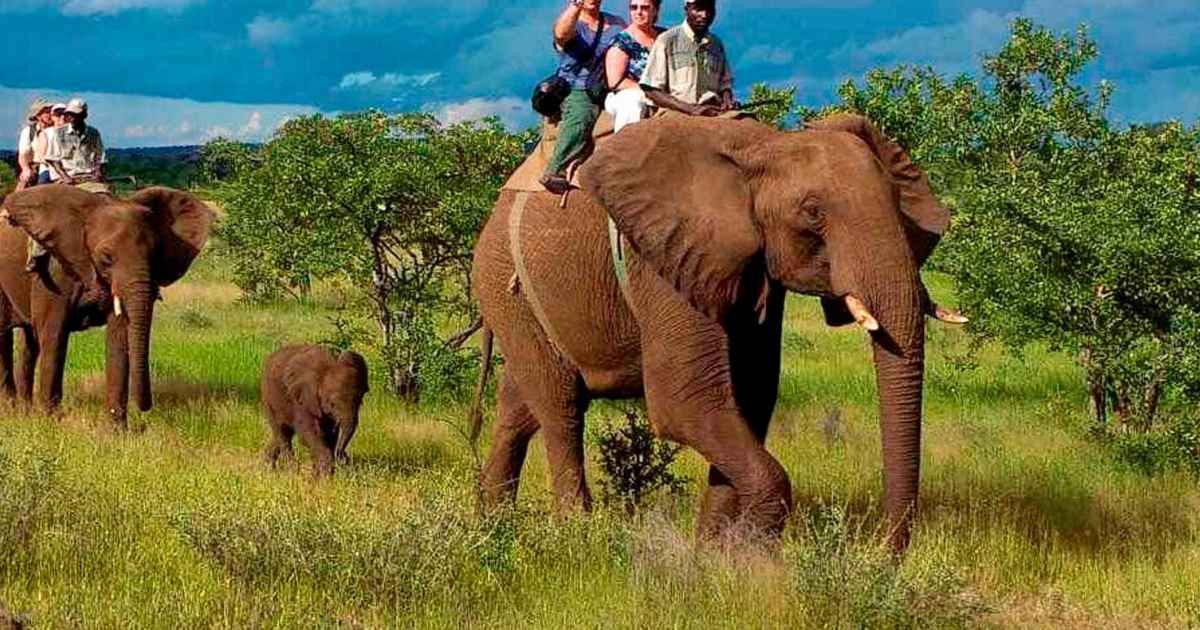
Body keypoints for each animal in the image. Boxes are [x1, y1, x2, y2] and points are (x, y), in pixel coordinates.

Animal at [0, 184, 213, 426]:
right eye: (106, 258)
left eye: (155, 256)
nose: (145, 409)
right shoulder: (54, 273)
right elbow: (54, 334)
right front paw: (51, 422)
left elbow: (119, 337)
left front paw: (117, 429)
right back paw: (11, 408)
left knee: (30, 341)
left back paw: (24, 412)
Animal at [260, 344, 369, 477]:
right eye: (332, 404)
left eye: (360, 401)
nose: (343, 456)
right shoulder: (302, 399)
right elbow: (309, 433)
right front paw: (324, 475)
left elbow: (330, 435)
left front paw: (319, 474)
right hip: (268, 398)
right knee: (282, 433)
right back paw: (291, 470)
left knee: (282, 435)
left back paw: (267, 467)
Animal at [470, 112, 961, 552]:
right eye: (812, 213)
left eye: (898, 206)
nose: (882, 557)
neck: (764, 145)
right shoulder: (661, 256)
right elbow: (687, 402)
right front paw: (751, 561)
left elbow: (750, 395)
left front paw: (712, 557)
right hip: (504, 284)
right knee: (561, 408)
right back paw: (577, 533)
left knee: (519, 407)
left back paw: (494, 524)